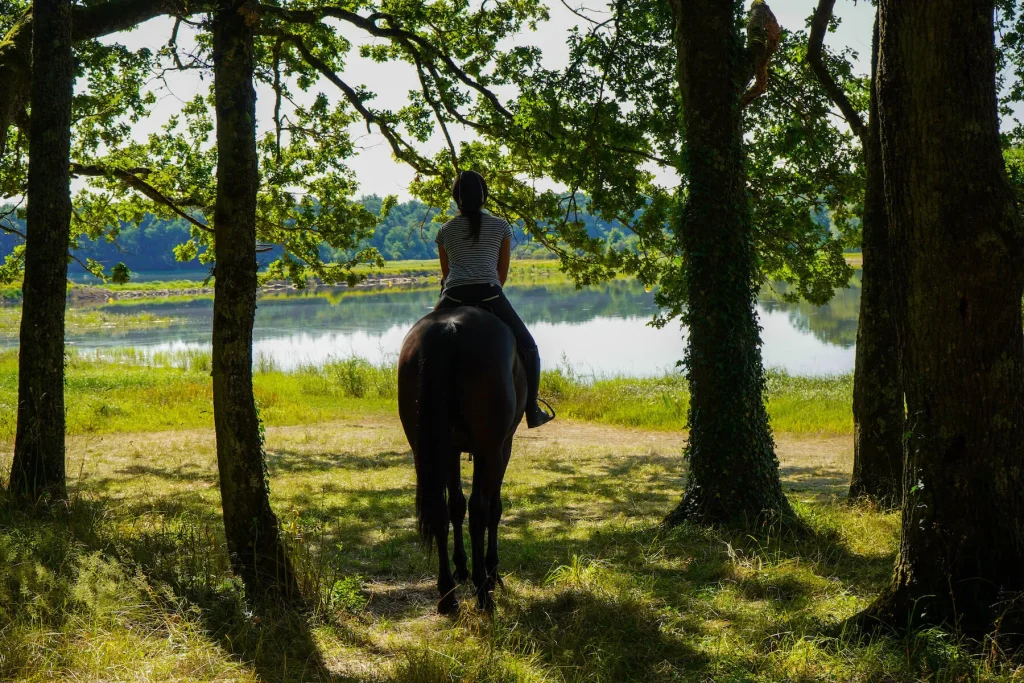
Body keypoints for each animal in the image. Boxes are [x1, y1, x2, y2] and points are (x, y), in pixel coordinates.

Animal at [397, 307, 524, 610]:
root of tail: (449, 328)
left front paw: (461, 567)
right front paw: (491, 570)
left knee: (439, 511)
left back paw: (447, 594)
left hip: (427, 448)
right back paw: (482, 589)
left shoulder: (451, 450)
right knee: (480, 510)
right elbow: (492, 508)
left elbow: (455, 505)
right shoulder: (502, 447)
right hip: (489, 448)